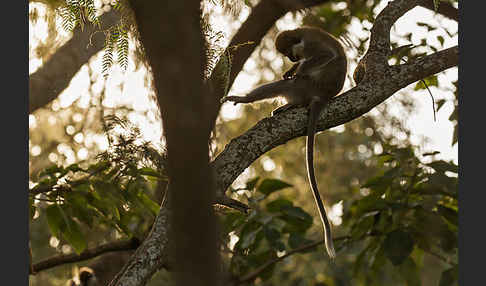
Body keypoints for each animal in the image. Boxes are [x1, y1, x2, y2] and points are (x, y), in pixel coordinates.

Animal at [222, 26, 348, 260]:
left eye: (290, 52)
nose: (292, 59)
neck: (301, 34)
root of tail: (323, 97)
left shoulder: (311, 45)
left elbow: (325, 56)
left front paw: (297, 69)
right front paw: (293, 68)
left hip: (306, 86)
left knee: (290, 84)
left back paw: (250, 98)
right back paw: (289, 106)